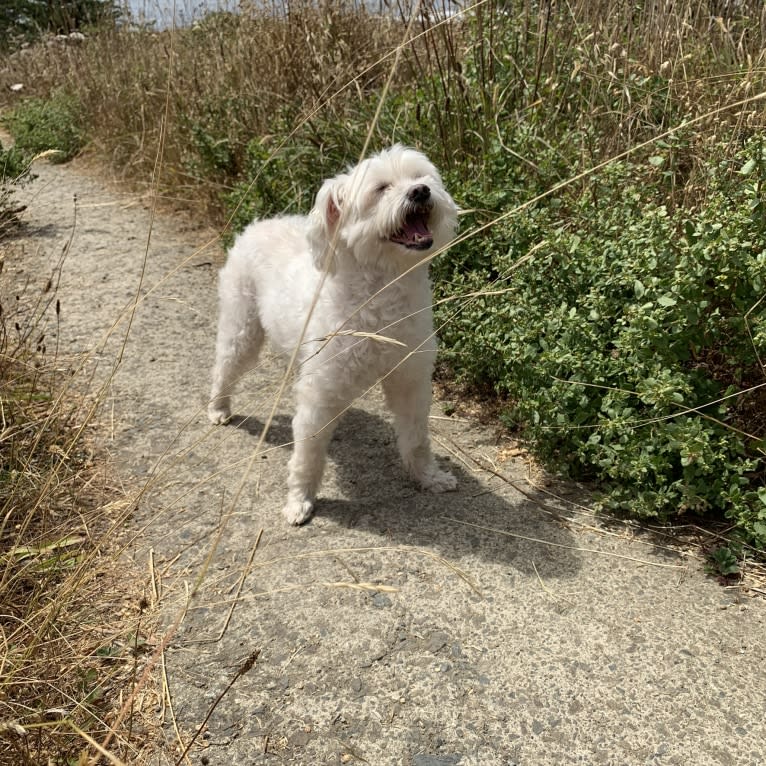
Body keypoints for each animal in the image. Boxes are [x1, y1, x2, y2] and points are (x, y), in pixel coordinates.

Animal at [207, 144, 460, 524]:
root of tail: (258, 224)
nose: (420, 192)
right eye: (381, 188)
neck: (382, 292)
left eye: (420, 177)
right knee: (224, 366)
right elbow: (308, 454)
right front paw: (299, 500)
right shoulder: (321, 394)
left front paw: (429, 477)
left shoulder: (410, 380)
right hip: (242, 328)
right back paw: (219, 407)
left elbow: (416, 438)